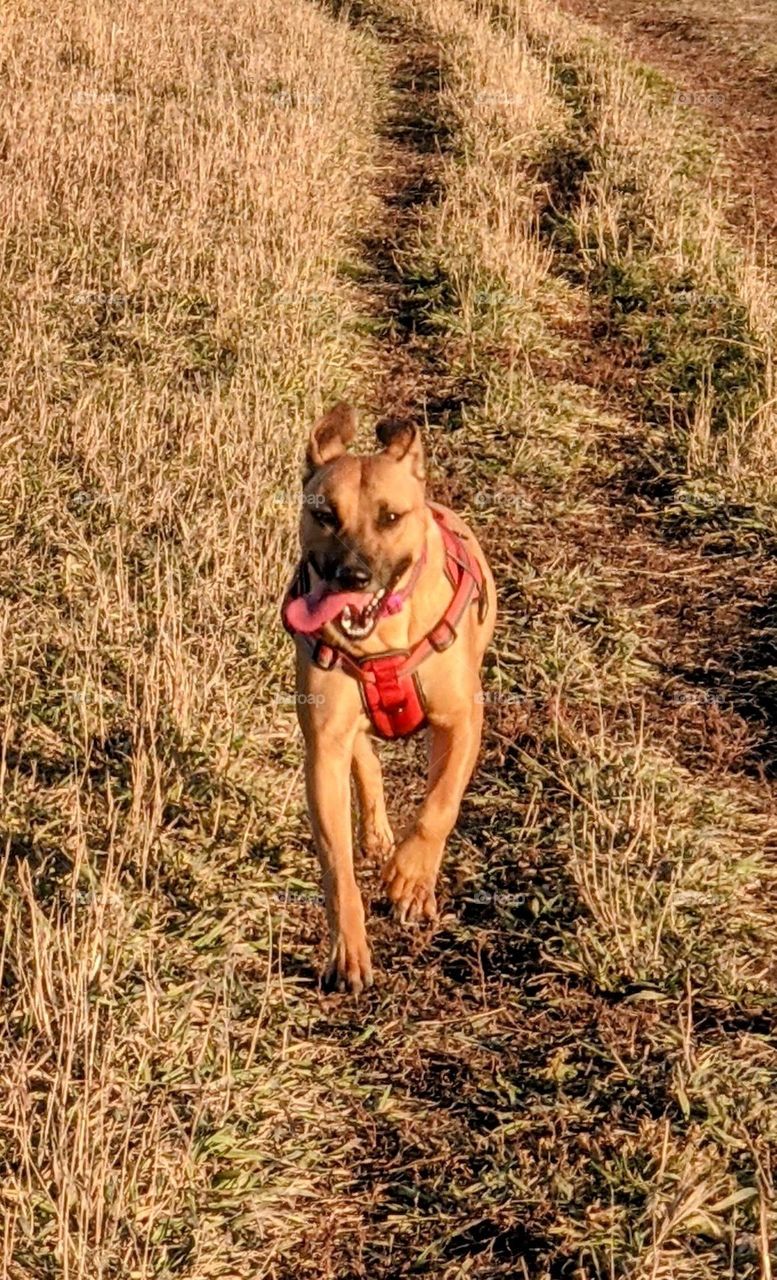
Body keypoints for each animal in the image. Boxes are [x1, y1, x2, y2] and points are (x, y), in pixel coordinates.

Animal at [282, 399, 496, 988]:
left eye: (391, 517)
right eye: (325, 515)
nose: (351, 575)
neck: (382, 638)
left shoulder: (462, 722)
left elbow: (439, 806)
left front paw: (410, 875)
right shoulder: (324, 748)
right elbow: (338, 866)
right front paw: (349, 949)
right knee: (367, 761)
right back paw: (378, 835)